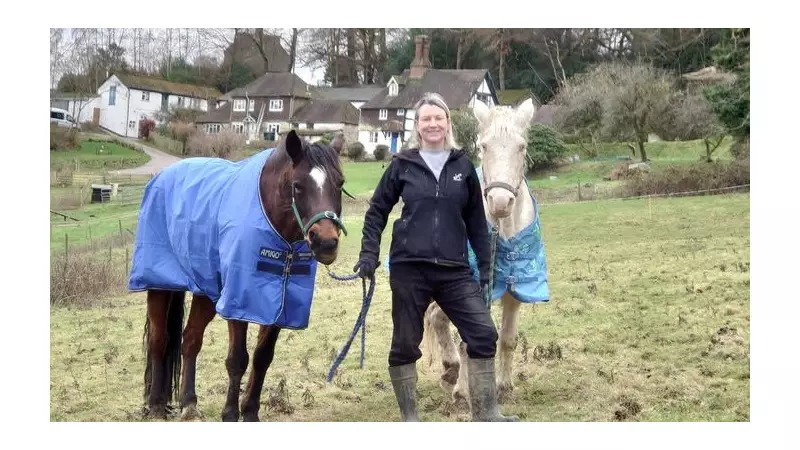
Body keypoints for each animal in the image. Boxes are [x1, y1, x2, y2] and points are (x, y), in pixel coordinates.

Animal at [129, 129, 348, 422]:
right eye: (298, 185)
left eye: (340, 183)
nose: (326, 242)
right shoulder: (238, 303)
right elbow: (238, 360)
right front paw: (231, 414)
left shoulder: (280, 304)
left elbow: (262, 357)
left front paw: (251, 412)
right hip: (159, 284)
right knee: (159, 339)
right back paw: (155, 404)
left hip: (205, 292)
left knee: (190, 340)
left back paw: (189, 402)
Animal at [421, 98, 550, 408]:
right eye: (483, 146)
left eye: (522, 147)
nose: (500, 202)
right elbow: (468, 340)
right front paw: (464, 393)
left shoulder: (515, 288)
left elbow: (508, 339)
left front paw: (503, 386)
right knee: (438, 320)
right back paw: (452, 372)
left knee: (437, 317)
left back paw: (450, 371)